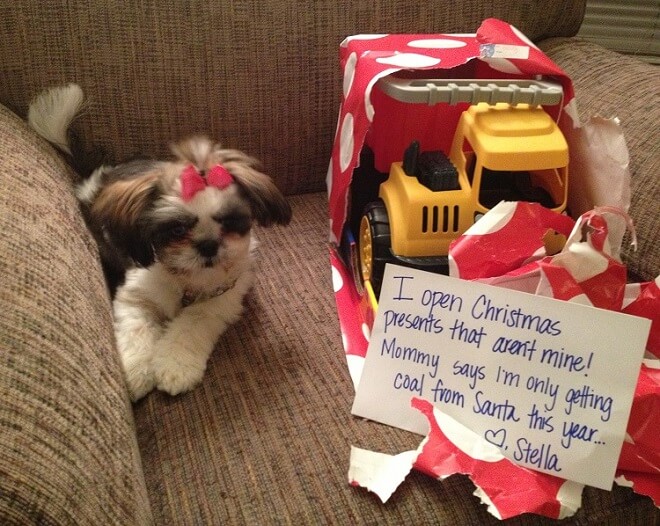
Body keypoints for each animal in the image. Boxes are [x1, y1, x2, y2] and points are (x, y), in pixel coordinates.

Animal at [28, 84, 292, 402]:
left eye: (229, 222)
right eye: (177, 229)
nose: (208, 244)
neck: (187, 281)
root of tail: (96, 178)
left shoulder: (220, 300)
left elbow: (191, 325)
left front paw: (175, 367)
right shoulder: (134, 293)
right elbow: (136, 326)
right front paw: (135, 370)